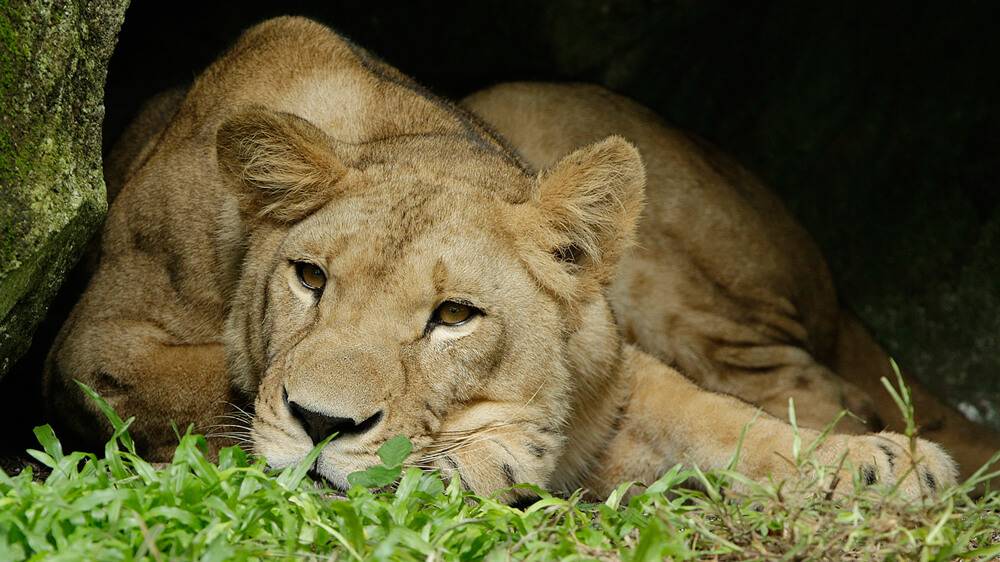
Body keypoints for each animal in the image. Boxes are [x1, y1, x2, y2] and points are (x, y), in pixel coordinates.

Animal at [42, 16, 978, 501]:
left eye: (454, 316)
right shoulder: (97, 347)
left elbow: (717, 419)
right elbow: (222, 380)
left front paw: (880, 467)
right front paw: (489, 450)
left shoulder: (615, 366)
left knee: (828, 388)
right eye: (309, 279)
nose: (322, 429)